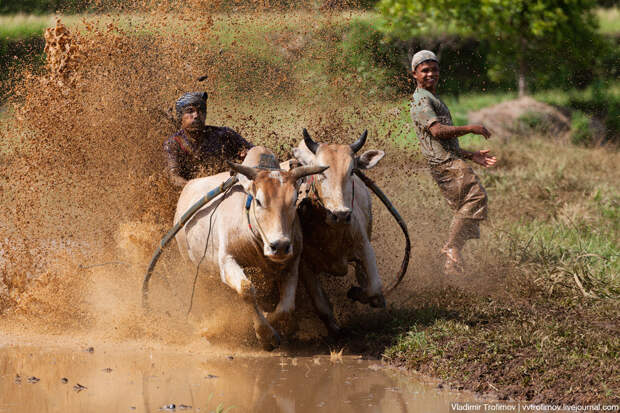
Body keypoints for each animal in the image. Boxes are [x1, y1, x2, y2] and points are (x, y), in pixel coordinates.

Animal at [172, 146, 326, 350]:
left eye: (294, 201)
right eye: (258, 201)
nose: (279, 246)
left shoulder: (292, 263)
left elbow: (286, 307)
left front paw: (270, 322)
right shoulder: (226, 261)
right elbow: (246, 289)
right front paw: (265, 335)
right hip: (190, 264)